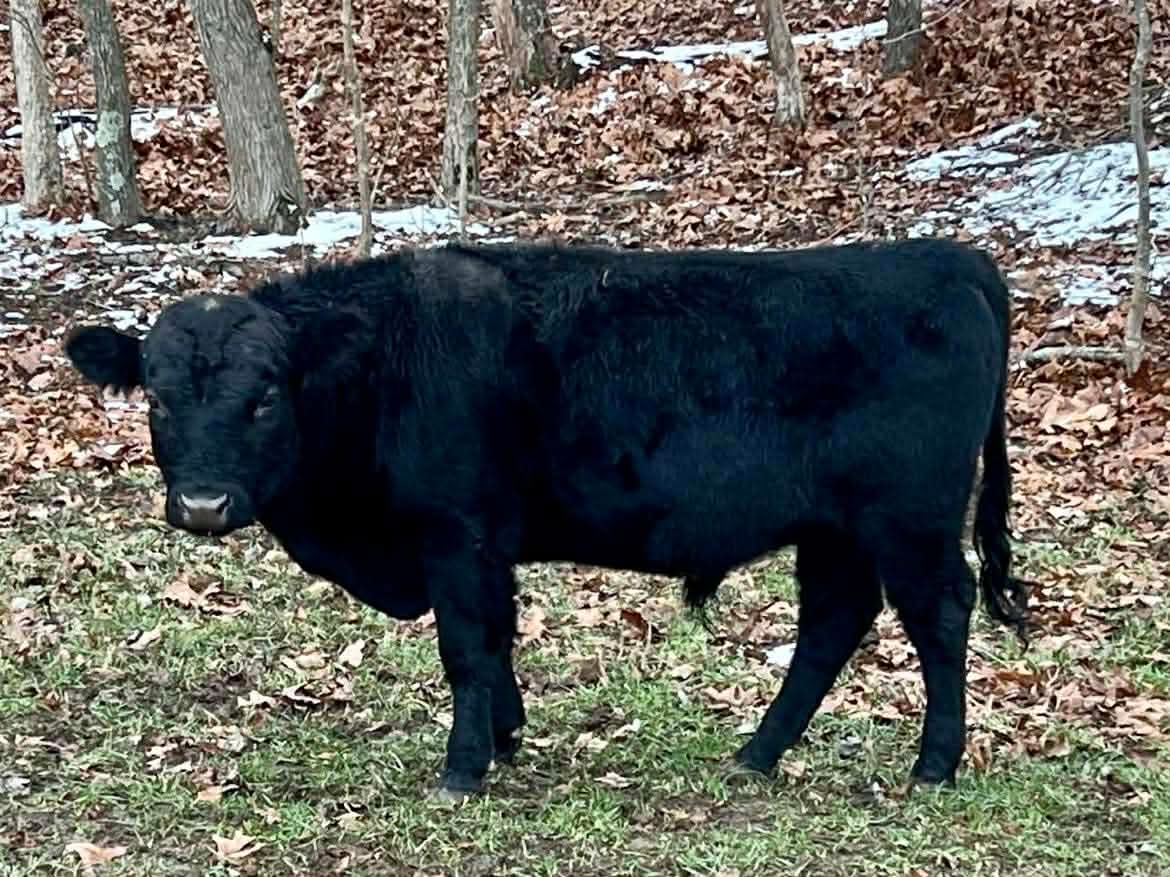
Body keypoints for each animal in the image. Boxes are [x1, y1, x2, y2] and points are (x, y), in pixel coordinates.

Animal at [63, 237, 1028, 800]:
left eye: (264, 395)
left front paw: (463, 767)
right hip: (834, 531)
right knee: (833, 622)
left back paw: (933, 763)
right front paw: (506, 733)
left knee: (939, 617)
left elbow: (465, 646)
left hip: (910, 523)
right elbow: (496, 641)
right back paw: (757, 752)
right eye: (156, 396)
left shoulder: (456, 532)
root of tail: (945, 256)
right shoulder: (485, 545)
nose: (203, 504)